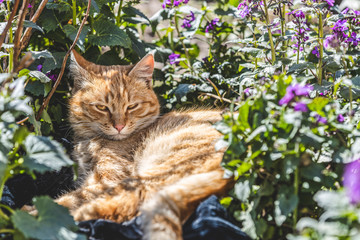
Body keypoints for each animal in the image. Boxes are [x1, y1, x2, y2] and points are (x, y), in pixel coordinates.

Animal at [53, 49, 235, 239]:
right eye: (102, 108)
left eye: (132, 106)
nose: (119, 126)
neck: (90, 141)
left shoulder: (106, 180)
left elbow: (70, 198)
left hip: (153, 173)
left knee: (128, 204)